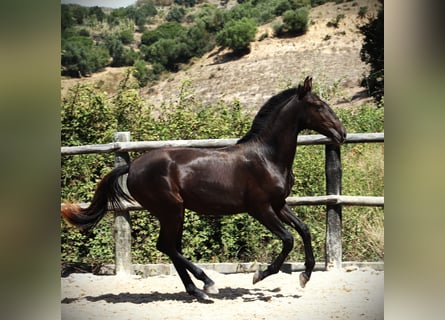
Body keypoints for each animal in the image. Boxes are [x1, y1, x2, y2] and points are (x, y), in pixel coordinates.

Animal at [62, 77, 346, 300]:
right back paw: (208, 283)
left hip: (175, 212)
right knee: (167, 246)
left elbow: (304, 230)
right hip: (171, 209)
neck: (267, 156)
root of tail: (132, 166)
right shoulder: (260, 208)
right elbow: (288, 239)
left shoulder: (279, 204)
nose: (341, 133)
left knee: (170, 247)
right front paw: (260, 275)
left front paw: (305, 276)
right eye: (318, 105)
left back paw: (197, 291)